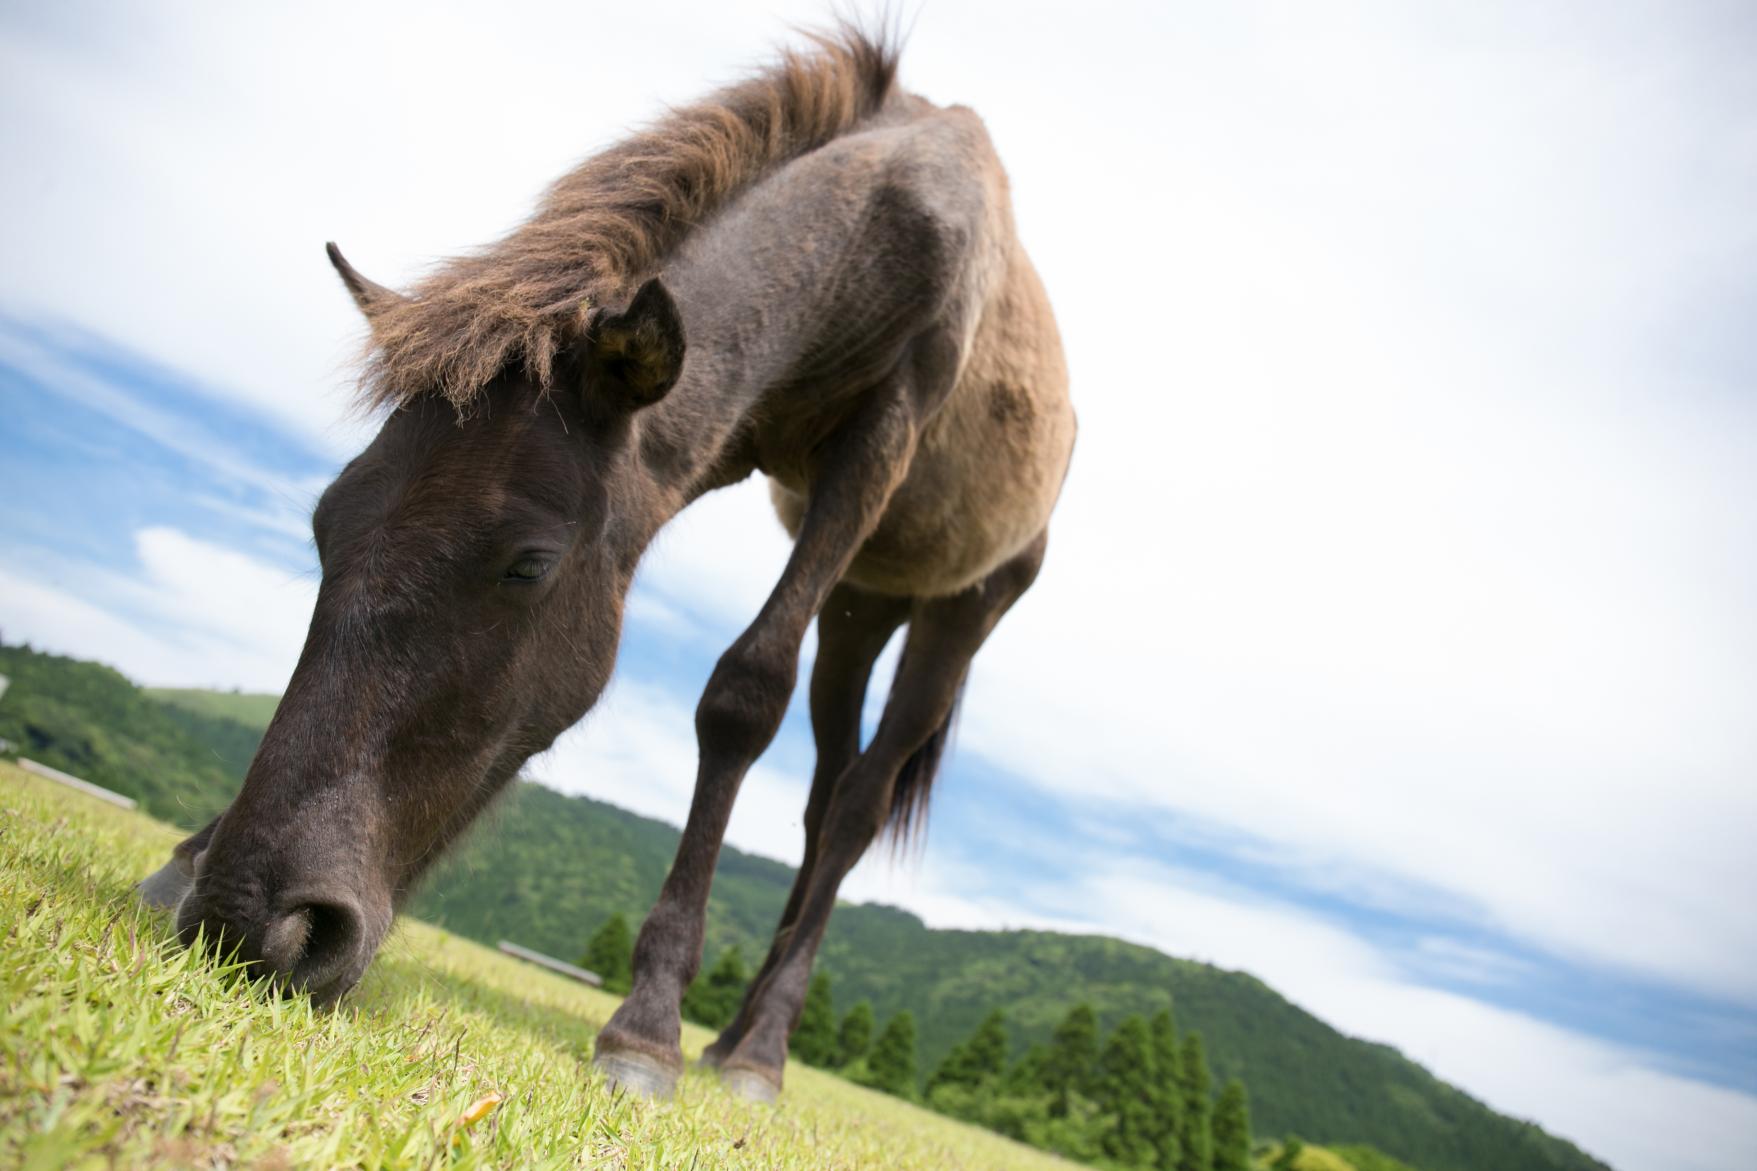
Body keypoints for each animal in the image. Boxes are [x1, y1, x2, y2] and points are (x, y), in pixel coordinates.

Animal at [138, 27, 1074, 1102]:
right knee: (823, 796)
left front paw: (648, 1024)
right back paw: (736, 1032)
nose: (255, 917)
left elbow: (742, 696)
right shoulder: (696, 443)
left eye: (527, 565)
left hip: (960, 610)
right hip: (861, 607)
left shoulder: (876, 441)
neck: (882, 212)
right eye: (327, 526)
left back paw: (757, 1049)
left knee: (858, 805)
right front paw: (189, 853)